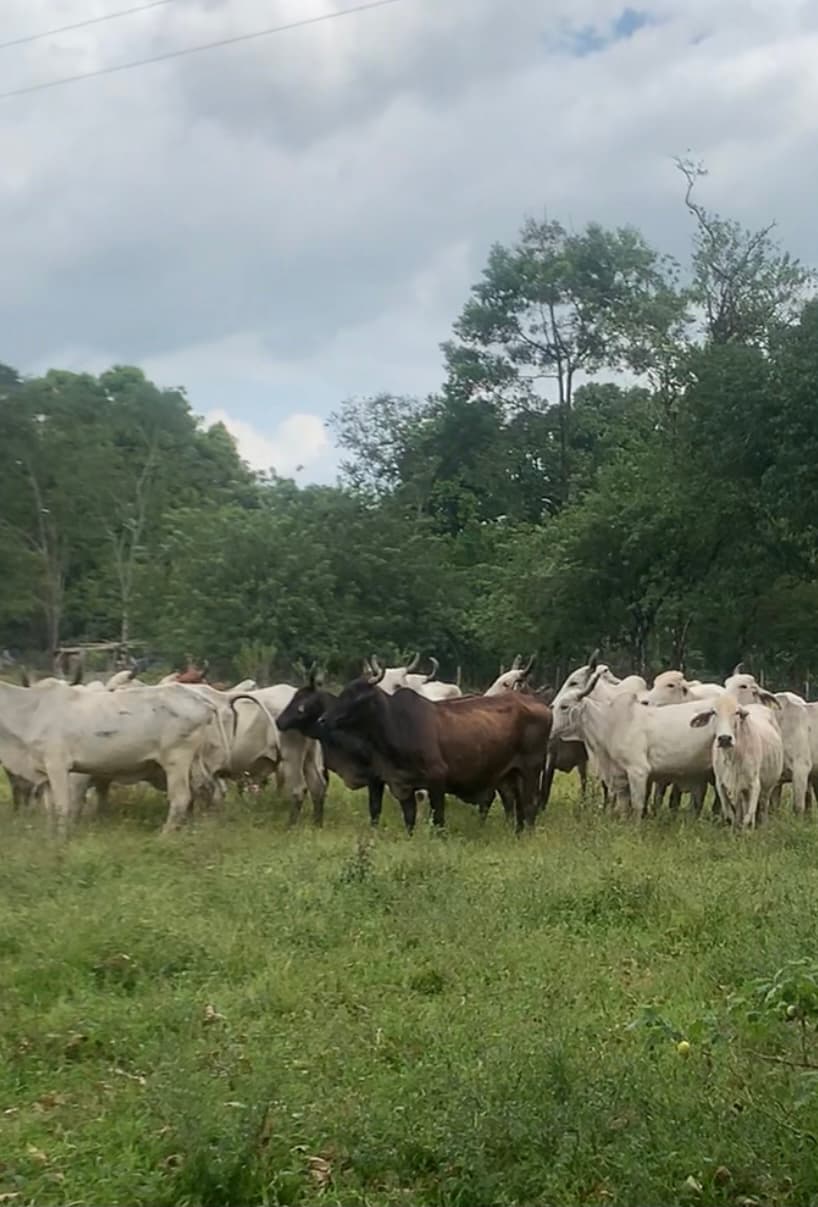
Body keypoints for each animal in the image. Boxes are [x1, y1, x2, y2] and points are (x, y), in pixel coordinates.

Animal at [316, 660, 553, 832]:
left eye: (357, 696)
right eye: (343, 692)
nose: (323, 720)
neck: (396, 724)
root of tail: (541, 705)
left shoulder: (436, 780)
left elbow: (438, 818)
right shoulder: (400, 783)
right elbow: (409, 819)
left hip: (531, 769)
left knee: (529, 805)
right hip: (510, 775)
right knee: (517, 805)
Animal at [689, 693, 784, 828]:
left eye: (737, 712)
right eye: (713, 712)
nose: (724, 738)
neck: (732, 758)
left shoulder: (754, 784)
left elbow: (748, 818)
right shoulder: (721, 785)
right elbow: (730, 816)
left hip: (768, 786)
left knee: (763, 807)